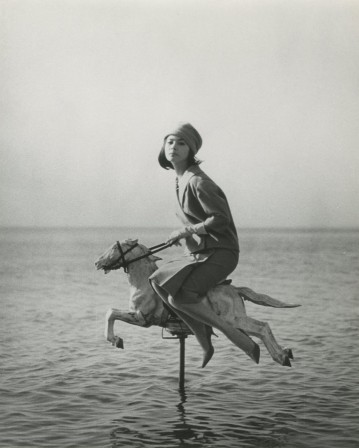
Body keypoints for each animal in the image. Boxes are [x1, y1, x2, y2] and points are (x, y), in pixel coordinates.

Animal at [94, 238, 300, 368]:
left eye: (114, 248)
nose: (97, 263)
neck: (143, 282)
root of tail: (235, 289)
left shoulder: (142, 318)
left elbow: (111, 312)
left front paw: (115, 340)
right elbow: (111, 312)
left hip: (233, 320)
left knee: (262, 327)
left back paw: (280, 356)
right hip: (237, 323)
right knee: (260, 330)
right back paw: (284, 354)